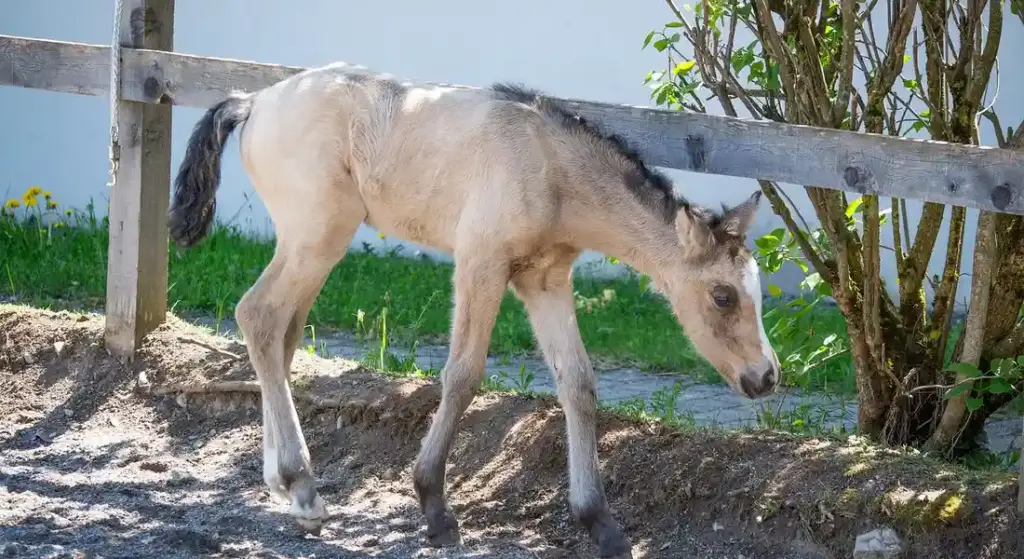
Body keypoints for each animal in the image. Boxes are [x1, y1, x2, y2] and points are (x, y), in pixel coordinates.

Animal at [168, 62, 781, 558]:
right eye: (723, 296)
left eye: (757, 291)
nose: (766, 377)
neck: (548, 166)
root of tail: (255, 100)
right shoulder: (480, 263)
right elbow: (463, 374)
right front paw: (435, 507)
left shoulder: (545, 280)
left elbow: (578, 385)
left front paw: (601, 524)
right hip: (318, 235)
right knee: (259, 316)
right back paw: (302, 484)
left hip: (309, 243)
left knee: (282, 332)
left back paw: (283, 485)